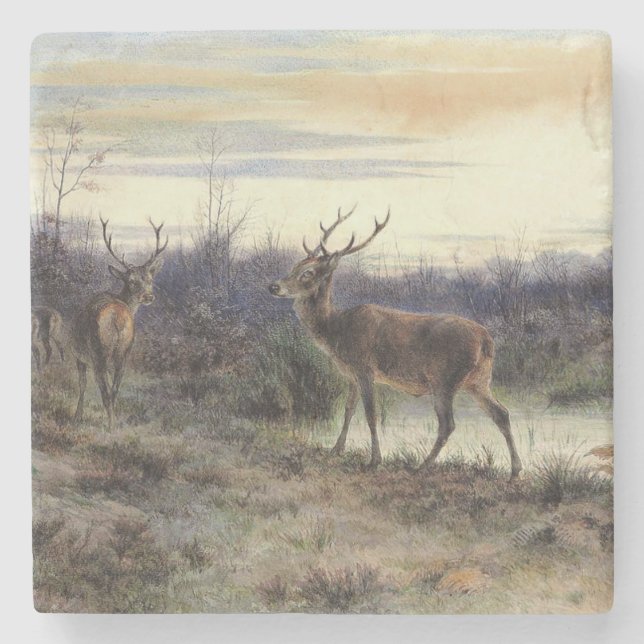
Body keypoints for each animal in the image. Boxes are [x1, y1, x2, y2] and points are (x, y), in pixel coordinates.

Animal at [71, 217, 167, 429]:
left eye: (149, 278)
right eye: (131, 281)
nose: (149, 296)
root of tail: (117, 318)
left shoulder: (79, 354)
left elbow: (82, 385)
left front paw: (77, 416)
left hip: (99, 352)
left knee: (105, 390)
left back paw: (110, 426)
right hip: (124, 351)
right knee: (113, 390)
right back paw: (112, 424)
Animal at [268, 206, 522, 481]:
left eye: (308, 273)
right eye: (294, 266)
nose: (274, 286)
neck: (337, 331)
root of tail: (487, 340)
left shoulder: (364, 368)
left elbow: (371, 414)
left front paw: (374, 460)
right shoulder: (351, 376)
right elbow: (348, 410)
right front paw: (336, 449)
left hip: (445, 379)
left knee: (448, 424)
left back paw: (421, 466)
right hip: (479, 380)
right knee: (502, 413)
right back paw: (515, 470)